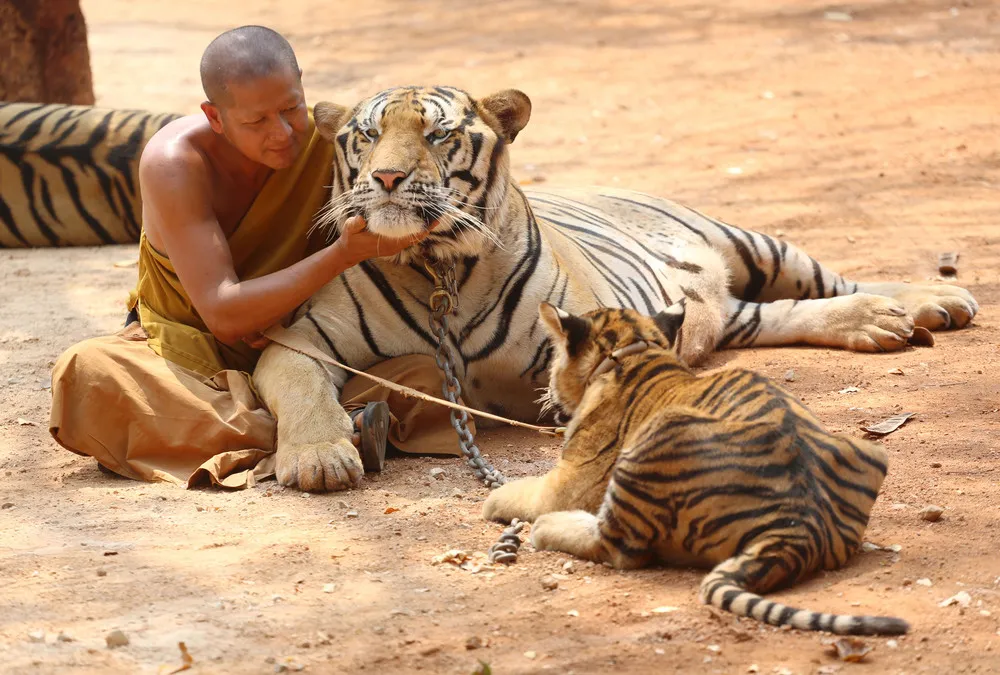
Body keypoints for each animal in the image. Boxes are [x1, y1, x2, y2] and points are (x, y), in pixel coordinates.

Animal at [250, 85, 978, 493]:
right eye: (368, 136)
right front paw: (319, 459)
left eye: (438, 133)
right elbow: (305, 392)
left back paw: (922, 302)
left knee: (835, 278)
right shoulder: (300, 340)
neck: (439, 267)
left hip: (751, 241)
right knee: (787, 312)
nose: (389, 179)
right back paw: (878, 322)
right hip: (736, 310)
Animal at [482, 301, 909, 636]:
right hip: (867, 450)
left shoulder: (566, 483)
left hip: (660, 434)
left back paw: (546, 528)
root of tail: (797, 532)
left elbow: (519, 491)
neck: (635, 348)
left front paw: (493, 499)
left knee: (619, 547)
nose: (548, 394)